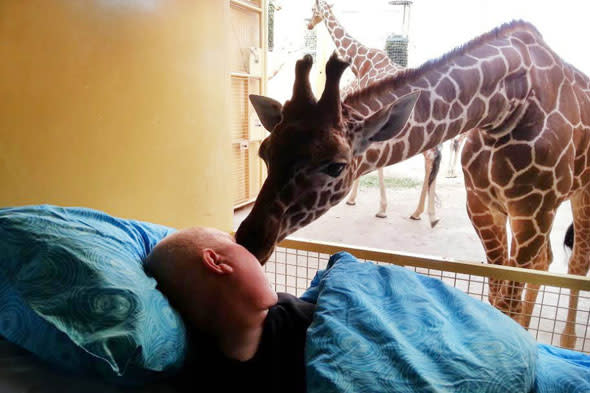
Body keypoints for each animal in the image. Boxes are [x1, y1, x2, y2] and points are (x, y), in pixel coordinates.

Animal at [238, 21, 590, 346]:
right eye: (264, 152)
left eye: (336, 166)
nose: (250, 240)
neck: (504, 107)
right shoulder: (482, 206)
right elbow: (496, 292)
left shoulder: (532, 209)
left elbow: (508, 301)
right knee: (546, 261)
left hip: (575, 197)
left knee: (575, 263)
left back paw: (567, 340)